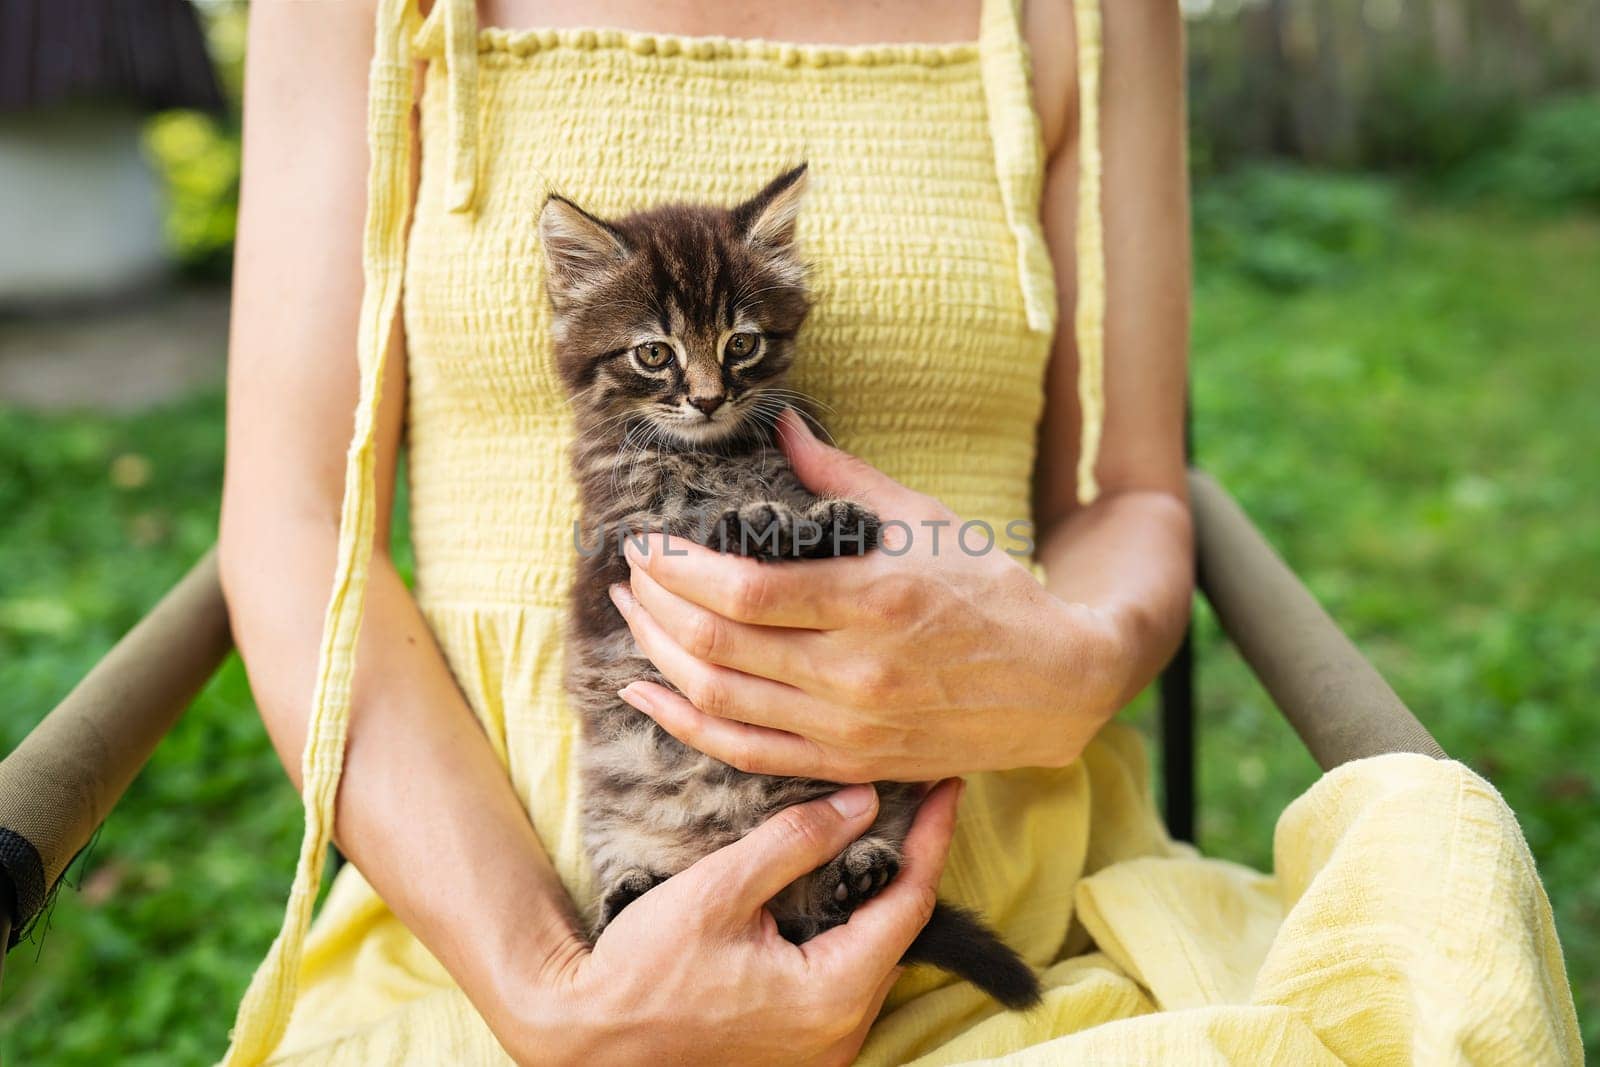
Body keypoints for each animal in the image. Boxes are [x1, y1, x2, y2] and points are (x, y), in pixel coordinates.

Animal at [537, 167, 1036, 1011]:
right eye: (654, 353)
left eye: (741, 343)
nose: (707, 396)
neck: (714, 453)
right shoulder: (624, 537)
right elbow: (697, 523)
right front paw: (754, 524)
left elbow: (793, 504)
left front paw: (828, 520)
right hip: (612, 814)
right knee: (620, 906)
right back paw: (632, 894)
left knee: (835, 904)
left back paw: (856, 874)